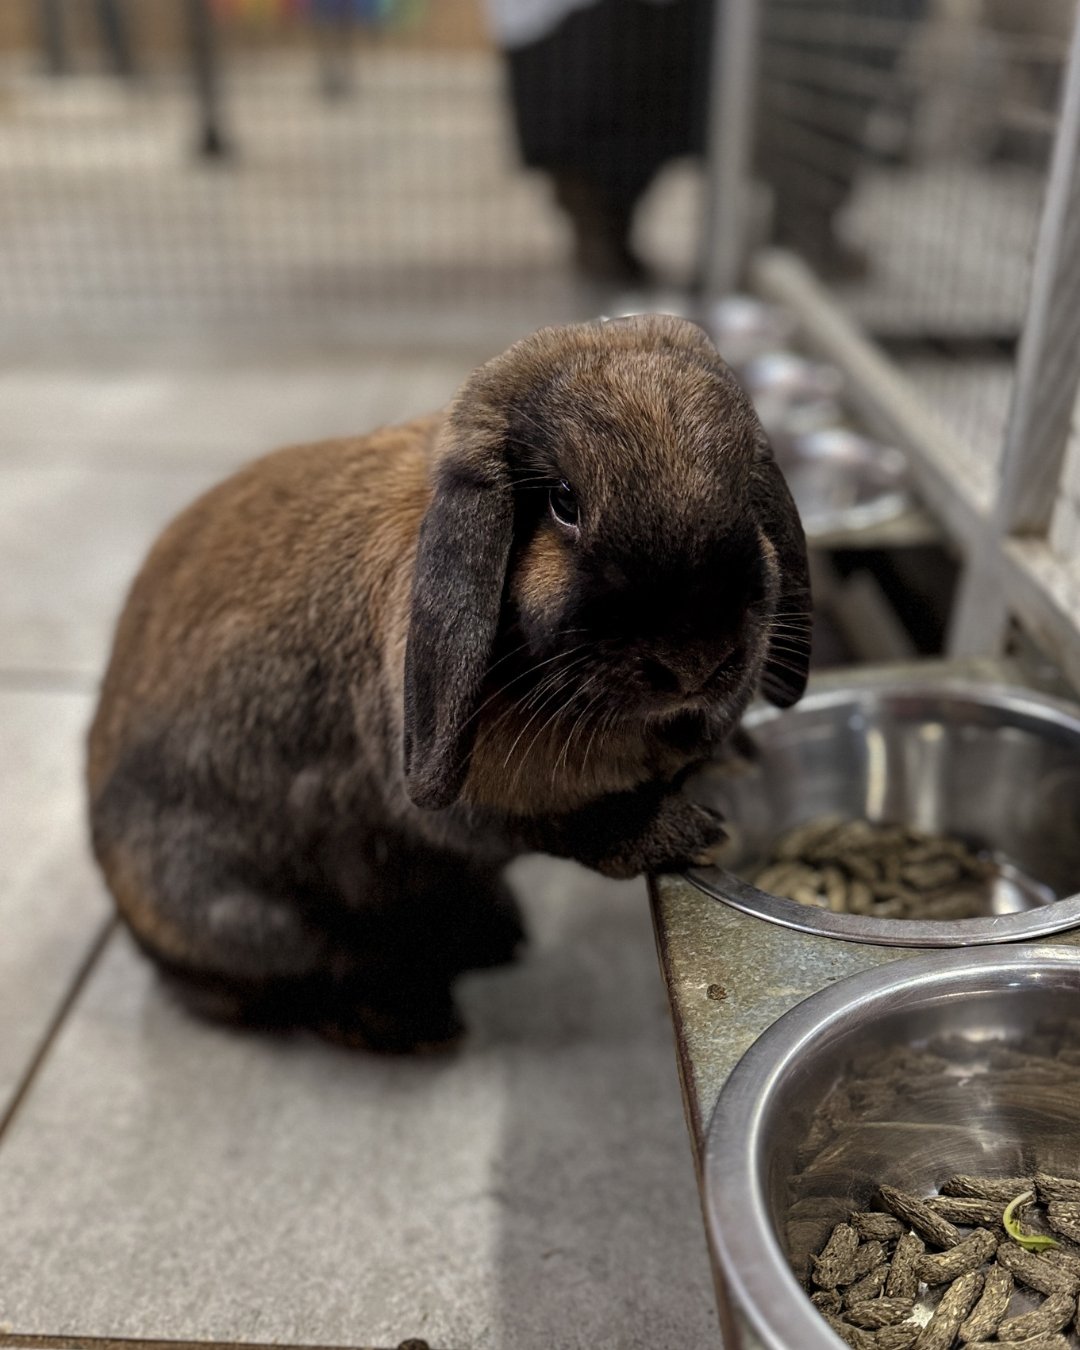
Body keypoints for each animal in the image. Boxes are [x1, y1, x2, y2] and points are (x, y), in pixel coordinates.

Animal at [86, 310, 810, 1047]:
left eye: (744, 488)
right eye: (565, 502)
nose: (697, 660)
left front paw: (736, 757)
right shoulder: (472, 802)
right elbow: (575, 824)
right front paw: (687, 832)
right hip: (249, 919)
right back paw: (408, 1024)